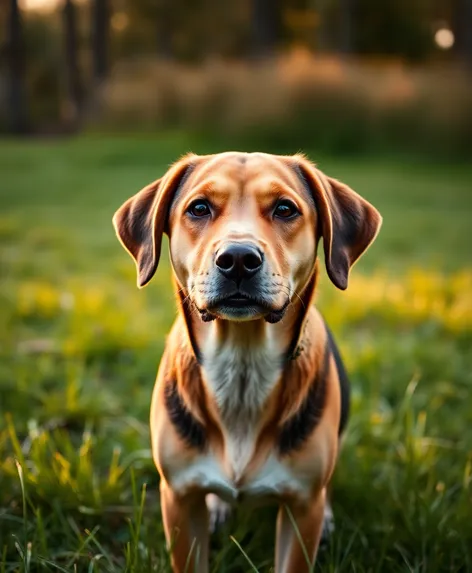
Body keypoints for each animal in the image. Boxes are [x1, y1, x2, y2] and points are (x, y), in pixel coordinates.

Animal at [112, 150, 382, 568]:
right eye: (199, 208)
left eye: (285, 209)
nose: (238, 258)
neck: (242, 365)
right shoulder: (179, 499)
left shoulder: (301, 508)